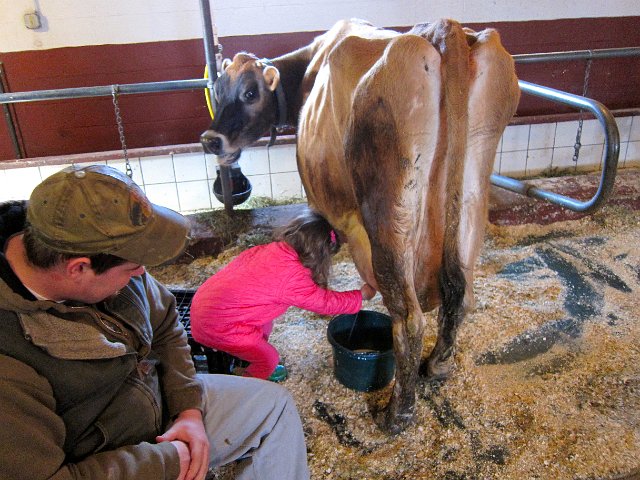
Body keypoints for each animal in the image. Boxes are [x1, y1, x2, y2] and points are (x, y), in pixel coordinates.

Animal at [200, 18, 520, 433]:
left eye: (250, 92)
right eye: (217, 90)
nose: (210, 140)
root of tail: (442, 30)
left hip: (386, 210)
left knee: (409, 320)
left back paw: (397, 414)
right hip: (472, 189)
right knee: (460, 294)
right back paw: (437, 367)